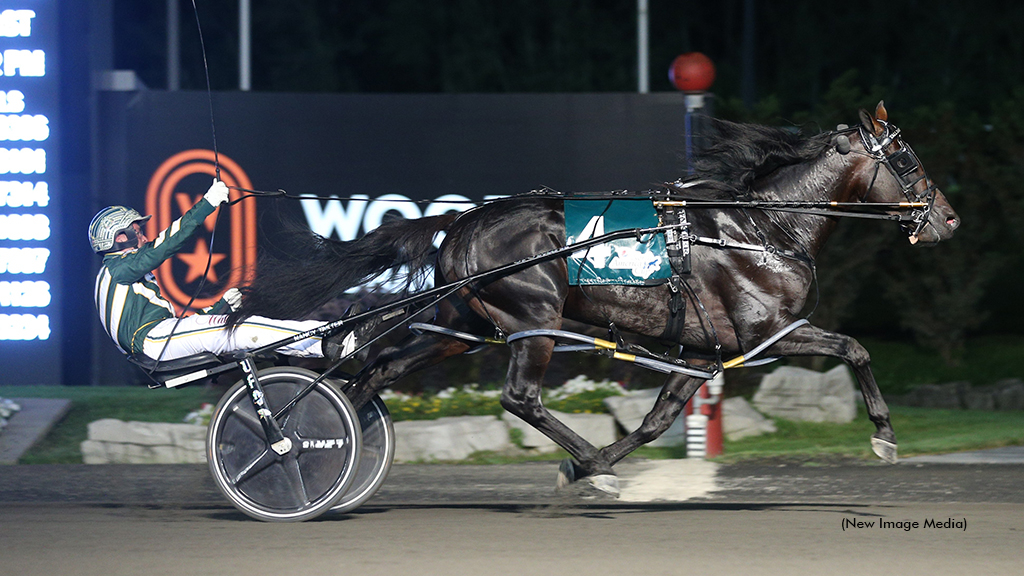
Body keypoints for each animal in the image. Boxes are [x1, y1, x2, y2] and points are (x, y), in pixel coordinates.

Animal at [234, 103, 958, 494]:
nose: (948, 219)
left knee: (376, 371)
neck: (761, 230)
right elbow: (854, 347)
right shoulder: (759, 334)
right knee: (518, 397)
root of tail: (464, 221)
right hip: (533, 319)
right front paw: (885, 435)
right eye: (909, 160)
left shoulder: (701, 351)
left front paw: (591, 468)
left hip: (460, 322)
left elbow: (656, 421)